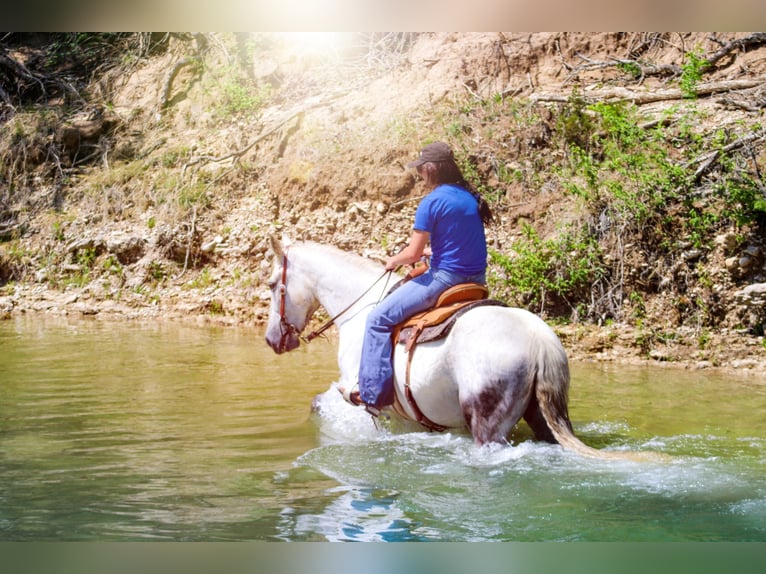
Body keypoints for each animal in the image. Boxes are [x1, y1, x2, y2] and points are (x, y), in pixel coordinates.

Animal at [268, 235, 664, 464]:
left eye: (272, 284)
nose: (273, 340)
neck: (360, 308)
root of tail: (539, 341)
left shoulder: (368, 403)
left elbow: (322, 404)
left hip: (487, 424)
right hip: (540, 416)